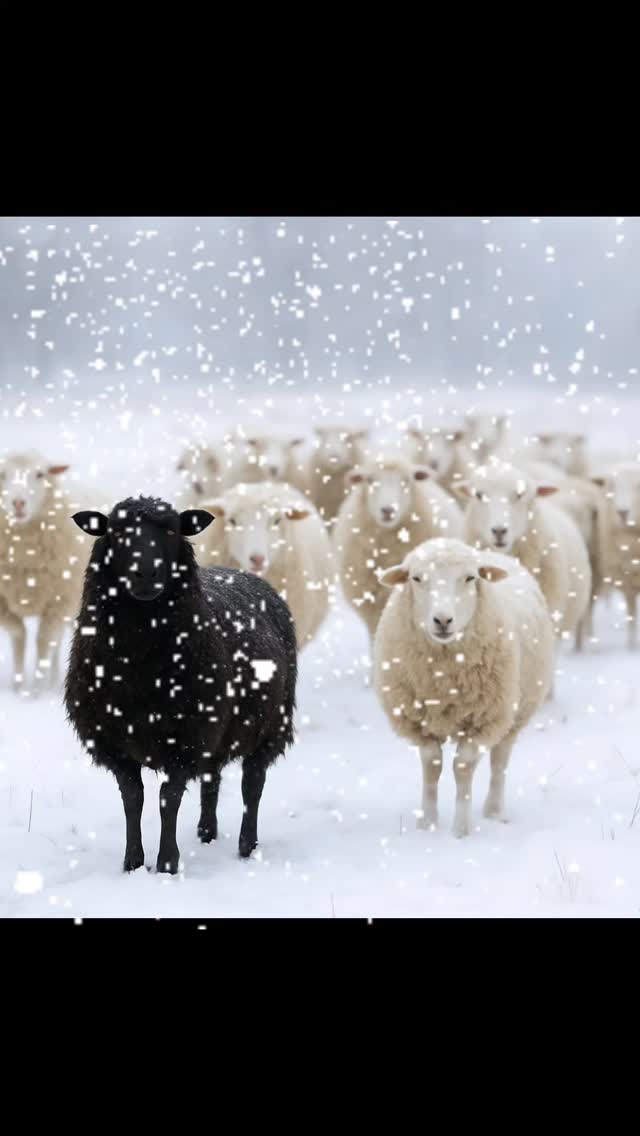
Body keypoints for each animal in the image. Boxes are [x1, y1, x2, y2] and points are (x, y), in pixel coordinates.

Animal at [0, 450, 90, 693]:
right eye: (2, 475)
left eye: (40, 474)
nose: (18, 503)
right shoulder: (4, 606)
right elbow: (19, 638)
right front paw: (18, 687)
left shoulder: (57, 602)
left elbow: (42, 642)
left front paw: (37, 690)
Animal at [64, 496, 298, 874]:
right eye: (116, 531)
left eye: (172, 530)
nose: (146, 572)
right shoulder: (114, 741)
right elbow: (133, 799)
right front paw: (132, 862)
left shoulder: (186, 737)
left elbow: (167, 800)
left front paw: (167, 864)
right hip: (220, 730)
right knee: (211, 780)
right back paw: (206, 833)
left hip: (271, 724)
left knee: (253, 784)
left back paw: (246, 846)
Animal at [373, 537, 554, 837]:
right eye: (416, 578)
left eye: (470, 578)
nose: (443, 620)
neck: (444, 677)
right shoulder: (420, 723)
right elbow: (432, 767)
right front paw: (427, 823)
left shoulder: (483, 721)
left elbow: (463, 768)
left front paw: (461, 829)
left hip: (511, 715)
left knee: (499, 762)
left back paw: (494, 810)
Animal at [591, 462, 640, 647]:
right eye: (611, 486)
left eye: (638, 486)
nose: (623, 512)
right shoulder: (627, 581)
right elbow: (631, 615)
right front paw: (630, 645)